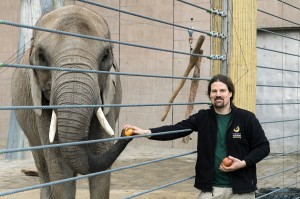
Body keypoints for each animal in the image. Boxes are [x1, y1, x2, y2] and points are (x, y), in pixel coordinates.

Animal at [11, 4, 131, 199]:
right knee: (43, 166)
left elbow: (100, 160)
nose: (126, 131)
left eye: (105, 56)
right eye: (41, 57)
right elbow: (60, 169)